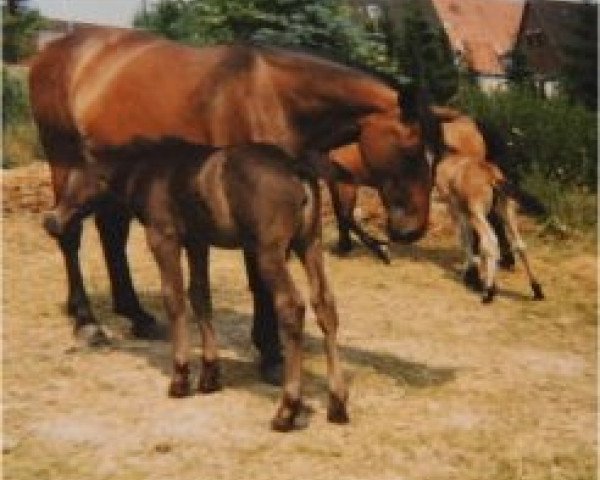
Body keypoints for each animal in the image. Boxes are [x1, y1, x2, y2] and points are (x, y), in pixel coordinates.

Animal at [44, 140, 350, 432]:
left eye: (76, 178)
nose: (51, 221)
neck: (150, 172)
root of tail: (294, 166)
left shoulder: (163, 238)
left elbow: (175, 300)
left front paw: (180, 378)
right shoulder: (197, 242)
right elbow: (200, 296)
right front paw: (209, 376)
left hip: (269, 252)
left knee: (291, 307)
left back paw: (287, 410)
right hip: (309, 244)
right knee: (325, 306)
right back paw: (337, 404)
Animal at [436, 153, 544, 304]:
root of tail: (492, 177)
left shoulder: (456, 208)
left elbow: (466, 240)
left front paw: (472, 277)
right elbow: (474, 242)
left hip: (477, 212)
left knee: (490, 241)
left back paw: (489, 292)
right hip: (506, 211)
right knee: (519, 244)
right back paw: (537, 289)